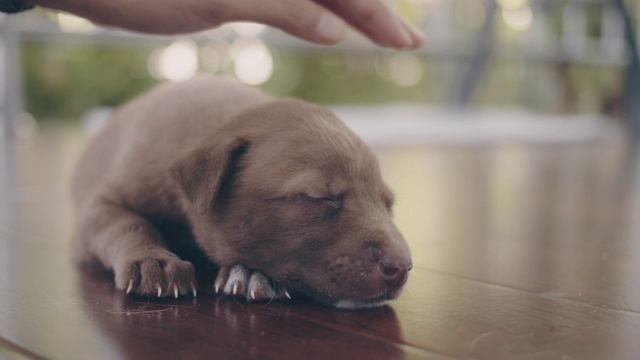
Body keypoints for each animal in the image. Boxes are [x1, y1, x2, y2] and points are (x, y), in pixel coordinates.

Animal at [72, 76, 412, 310]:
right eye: (318, 197)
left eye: (388, 205)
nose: (401, 267)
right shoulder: (103, 203)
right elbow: (124, 222)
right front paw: (152, 260)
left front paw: (249, 273)